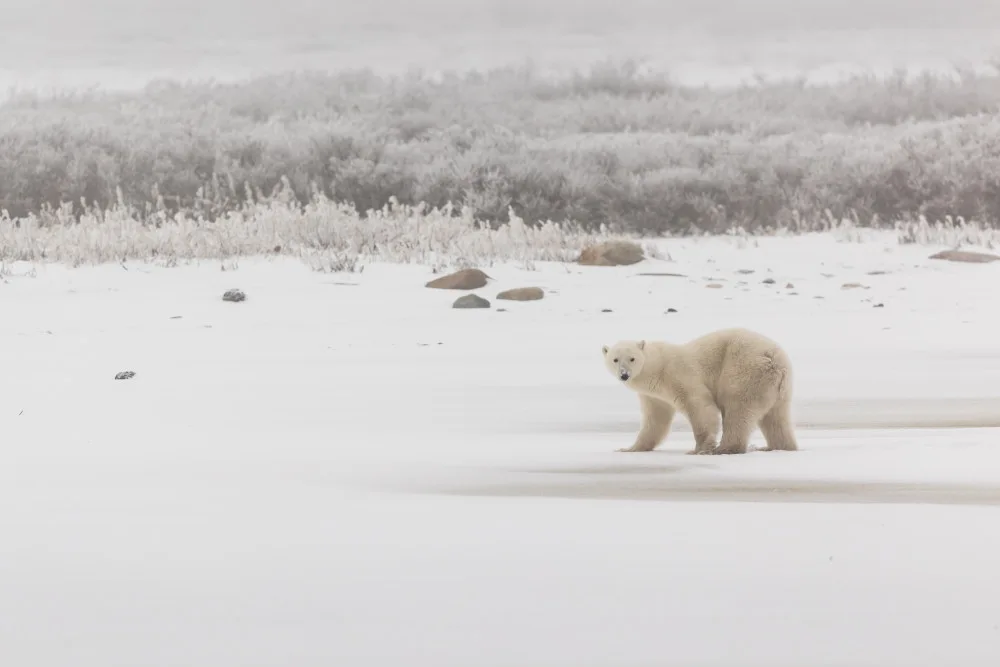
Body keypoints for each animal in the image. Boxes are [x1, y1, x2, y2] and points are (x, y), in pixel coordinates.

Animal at [601, 327, 797, 455]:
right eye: (615, 359)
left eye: (632, 358)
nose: (624, 375)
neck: (657, 367)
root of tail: (773, 358)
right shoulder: (653, 395)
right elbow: (656, 420)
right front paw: (630, 448)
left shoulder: (678, 373)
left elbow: (698, 405)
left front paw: (700, 448)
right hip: (780, 388)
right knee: (776, 418)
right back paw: (779, 446)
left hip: (743, 371)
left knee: (738, 409)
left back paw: (725, 448)